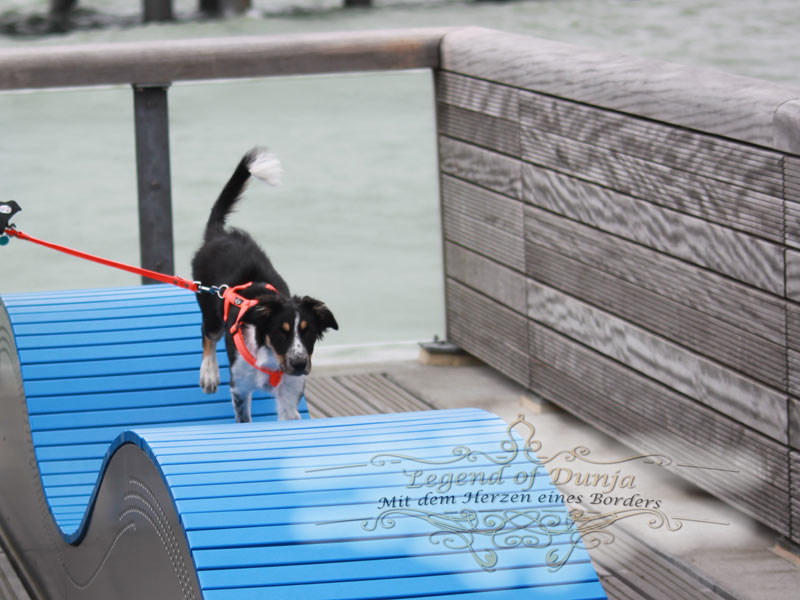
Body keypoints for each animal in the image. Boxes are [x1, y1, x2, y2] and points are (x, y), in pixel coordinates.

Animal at [193, 148, 338, 422]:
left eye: (309, 331)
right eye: (280, 331)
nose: (299, 364)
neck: (272, 360)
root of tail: (219, 234)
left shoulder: (290, 392)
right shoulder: (240, 386)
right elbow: (245, 419)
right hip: (211, 309)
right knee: (207, 334)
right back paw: (209, 373)